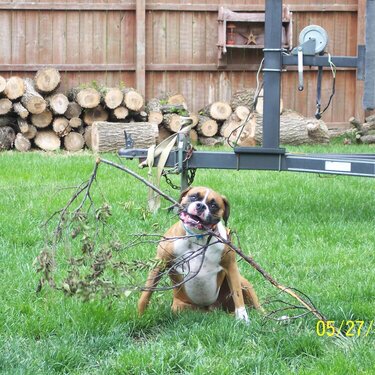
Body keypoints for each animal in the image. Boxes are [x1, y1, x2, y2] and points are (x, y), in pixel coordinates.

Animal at [137, 187, 262, 322]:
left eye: (213, 205)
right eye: (193, 197)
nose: (201, 206)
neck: (198, 237)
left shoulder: (231, 266)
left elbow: (237, 294)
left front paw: (242, 318)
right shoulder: (159, 264)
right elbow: (146, 293)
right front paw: (139, 316)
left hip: (244, 283)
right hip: (179, 307)